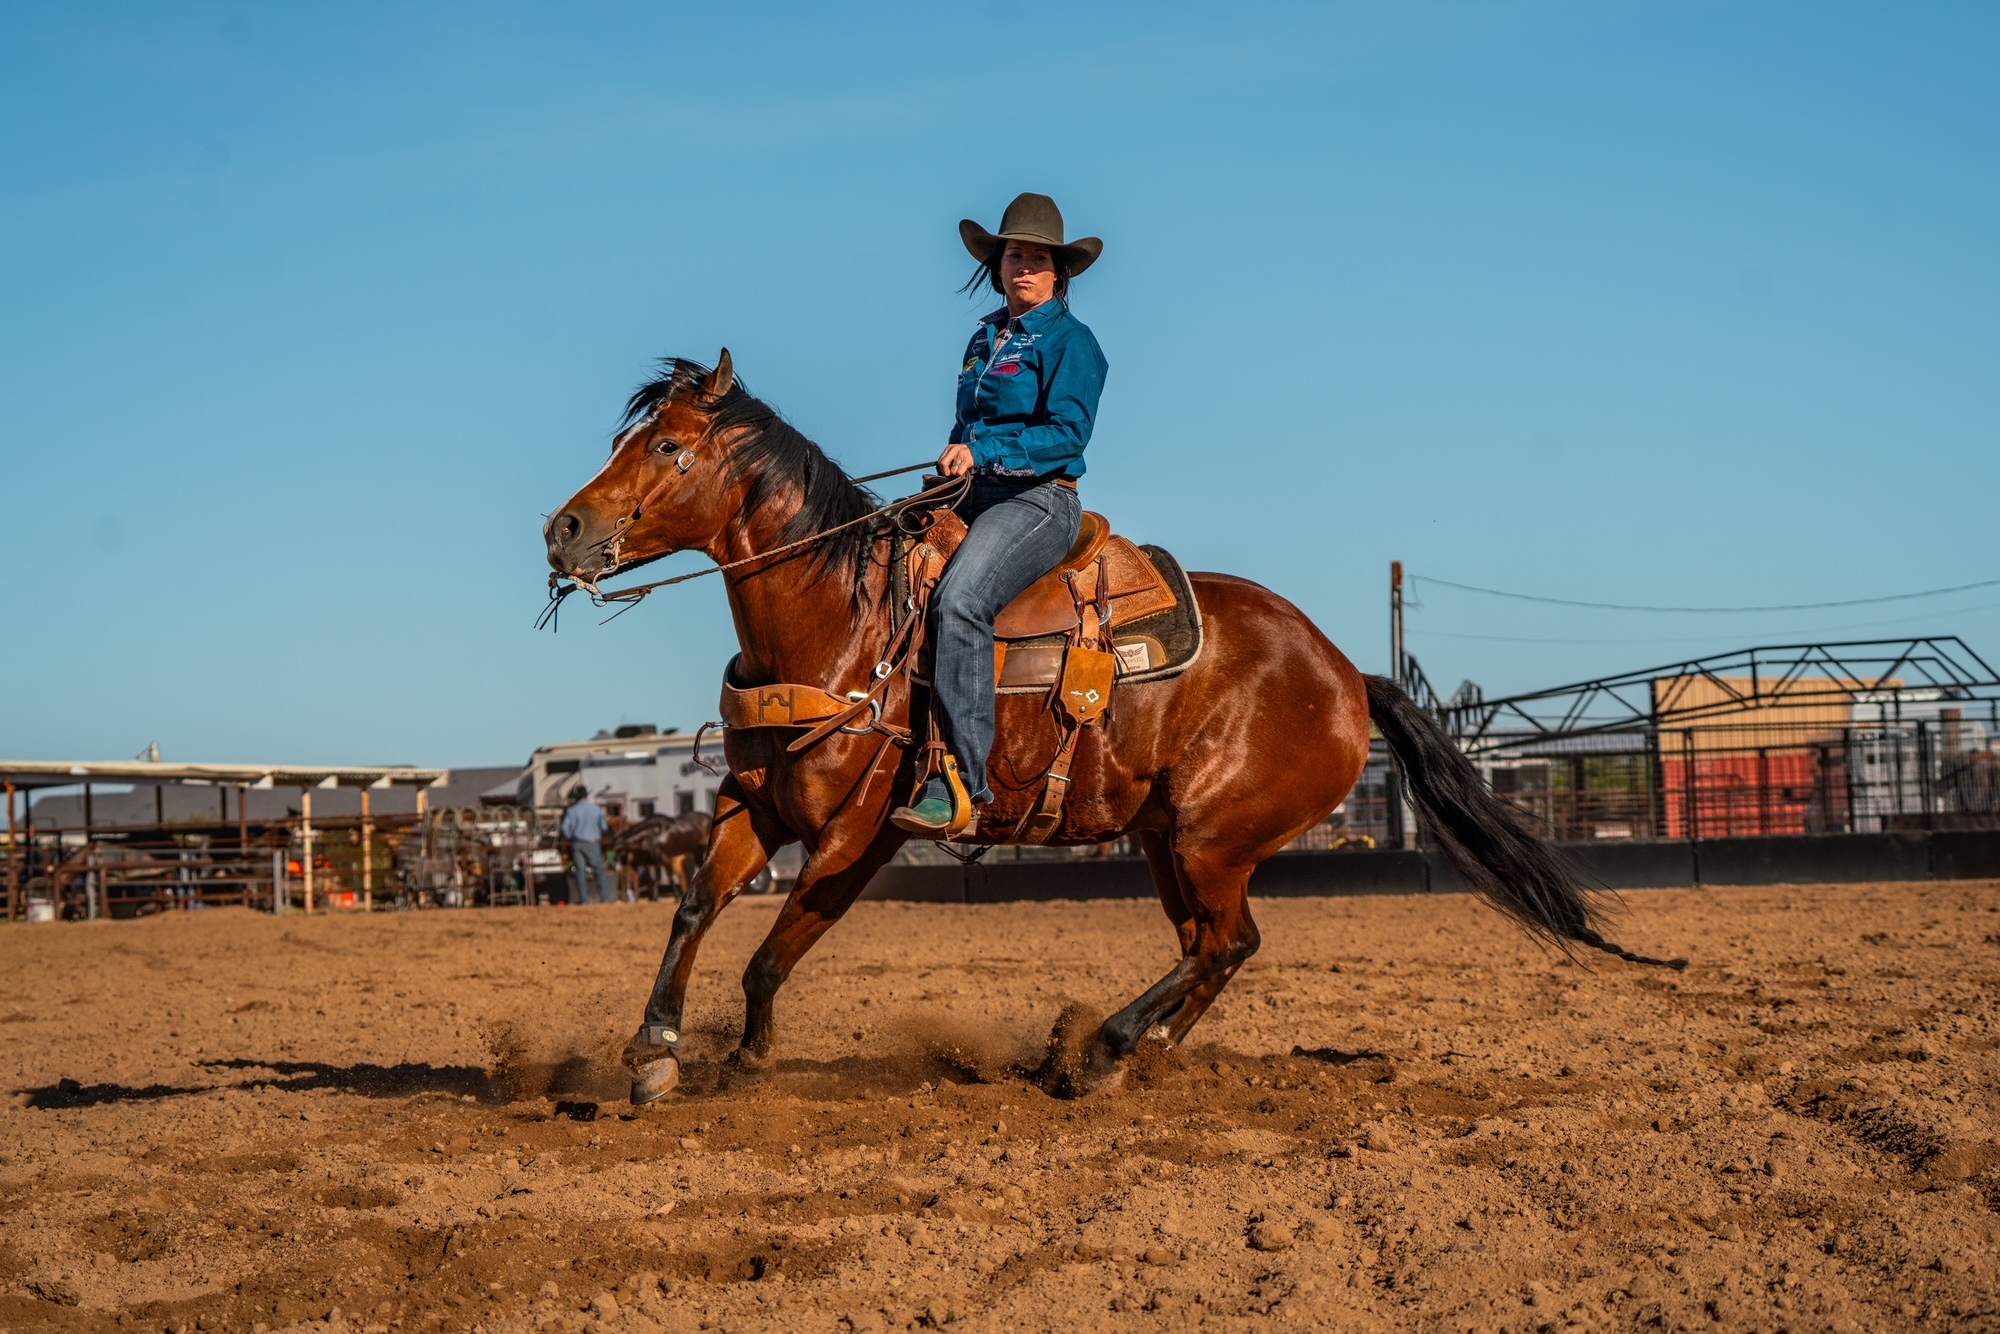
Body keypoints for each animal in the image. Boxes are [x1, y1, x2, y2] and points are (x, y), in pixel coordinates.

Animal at [543, 351, 1681, 1103]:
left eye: (669, 445)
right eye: (624, 439)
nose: (563, 529)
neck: (840, 626)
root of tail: (1347, 674)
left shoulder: (859, 836)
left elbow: (776, 948)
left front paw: (740, 1059)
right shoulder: (753, 806)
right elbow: (695, 905)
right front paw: (655, 1048)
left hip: (1211, 833)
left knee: (1228, 937)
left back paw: (1102, 1049)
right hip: (1165, 838)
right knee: (1211, 946)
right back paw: (1150, 1050)